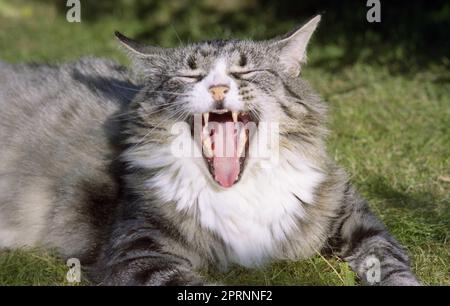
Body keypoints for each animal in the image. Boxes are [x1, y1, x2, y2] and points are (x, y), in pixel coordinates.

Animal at [0, 15, 420, 286]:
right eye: (191, 76)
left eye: (244, 72)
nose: (217, 88)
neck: (239, 191)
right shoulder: (136, 250)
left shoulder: (349, 211)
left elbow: (389, 258)